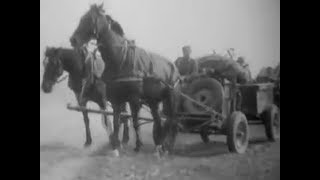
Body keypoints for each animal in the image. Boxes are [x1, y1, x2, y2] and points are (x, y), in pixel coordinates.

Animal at [69, 3, 180, 157]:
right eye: (82, 18)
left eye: (89, 19)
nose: (73, 40)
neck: (120, 59)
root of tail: (173, 66)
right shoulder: (116, 99)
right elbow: (116, 123)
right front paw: (116, 146)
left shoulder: (134, 99)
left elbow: (135, 121)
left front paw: (138, 145)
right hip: (153, 100)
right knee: (158, 121)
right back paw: (159, 146)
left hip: (171, 98)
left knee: (172, 121)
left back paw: (168, 146)